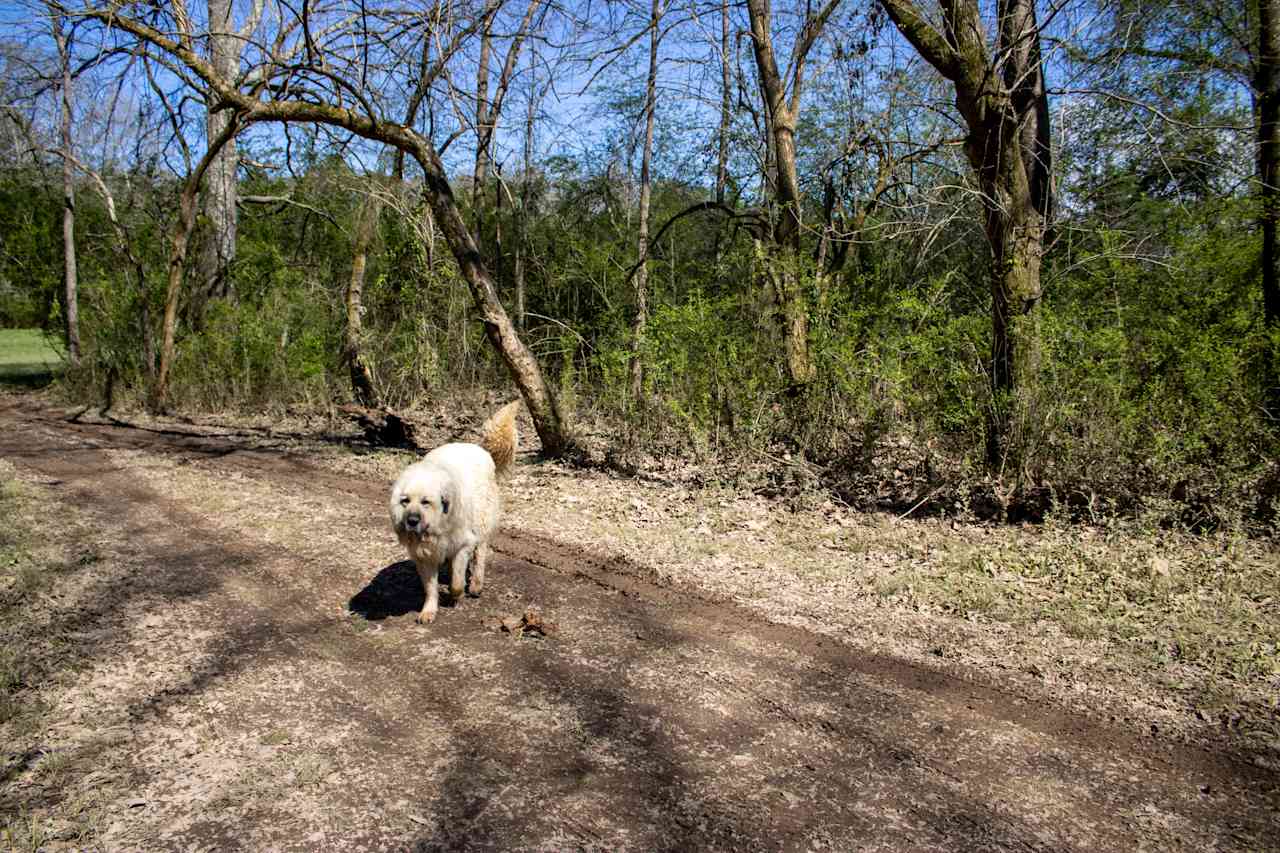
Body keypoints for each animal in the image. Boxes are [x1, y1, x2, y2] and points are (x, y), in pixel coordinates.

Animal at [386, 402, 517, 622]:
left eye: (426, 502)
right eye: (405, 501)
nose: (412, 521)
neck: (437, 524)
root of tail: (480, 448)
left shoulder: (464, 544)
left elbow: (456, 581)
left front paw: (457, 594)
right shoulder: (424, 556)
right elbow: (430, 588)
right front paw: (429, 611)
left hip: (482, 524)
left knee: (480, 554)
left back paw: (476, 585)